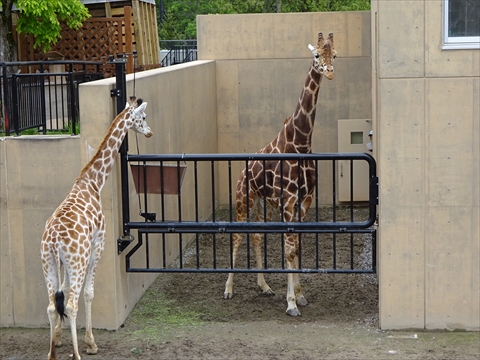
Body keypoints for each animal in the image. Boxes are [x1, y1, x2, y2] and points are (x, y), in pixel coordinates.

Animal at [40, 97, 152, 358]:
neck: (92, 182)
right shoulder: (98, 244)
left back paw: (51, 354)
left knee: (51, 305)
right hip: (77, 261)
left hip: (48, 261)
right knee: (72, 304)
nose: (150, 132)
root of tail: (53, 240)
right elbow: (89, 293)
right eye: (142, 118)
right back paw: (79, 353)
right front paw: (91, 343)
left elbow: (62, 292)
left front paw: (57, 339)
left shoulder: (64, 262)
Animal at [223, 32, 336, 316]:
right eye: (316, 55)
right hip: (244, 199)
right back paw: (228, 289)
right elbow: (288, 250)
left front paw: (300, 295)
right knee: (238, 236)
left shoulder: (303, 201)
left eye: (334, 54)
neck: (301, 143)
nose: (329, 72)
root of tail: (241, 172)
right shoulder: (289, 201)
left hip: (266, 204)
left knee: (257, 235)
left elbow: (296, 247)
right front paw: (291, 303)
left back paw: (264, 286)